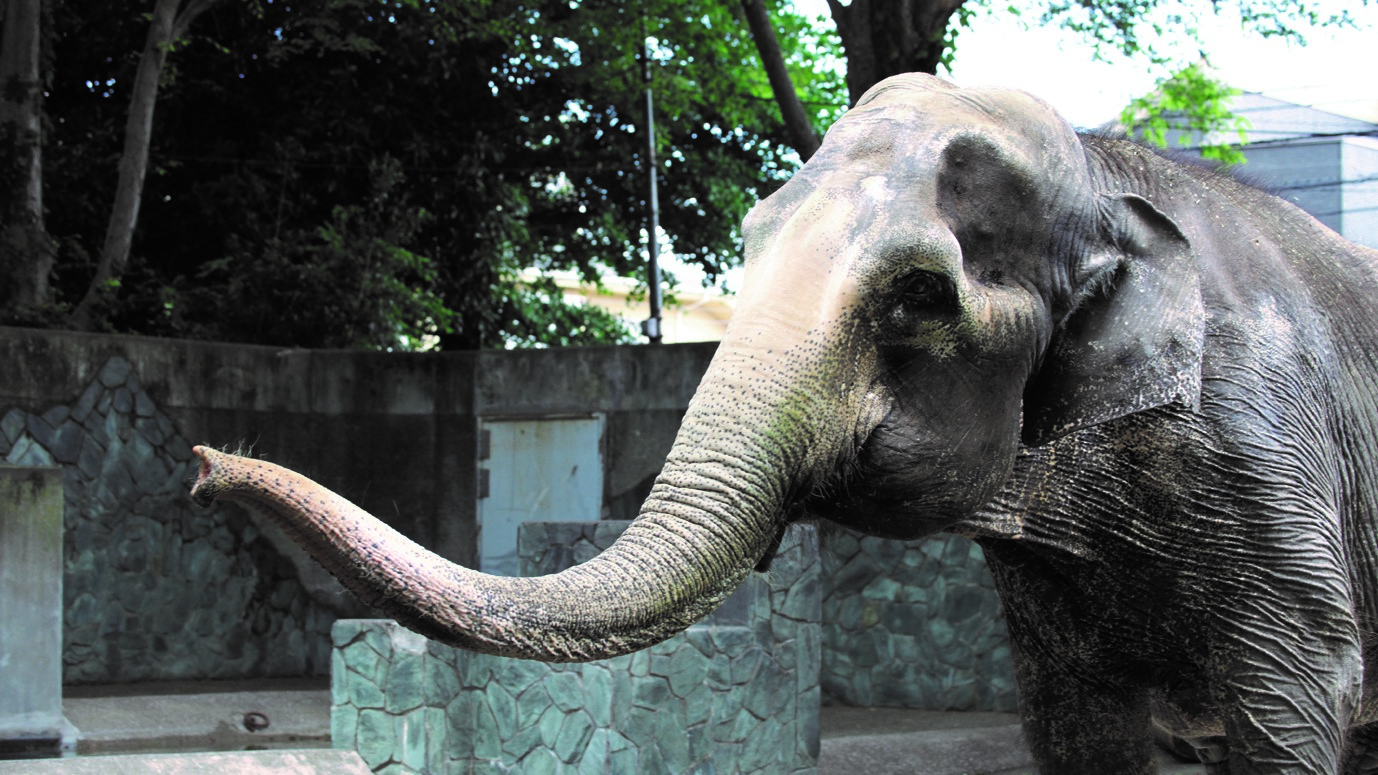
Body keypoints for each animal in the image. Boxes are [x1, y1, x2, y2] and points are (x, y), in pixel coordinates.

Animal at [197, 69, 1378, 766]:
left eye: (916, 295)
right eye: (748, 241)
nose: (207, 462)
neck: (1103, 175)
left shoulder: (1269, 469)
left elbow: (1295, 702)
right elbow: (1078, 728)